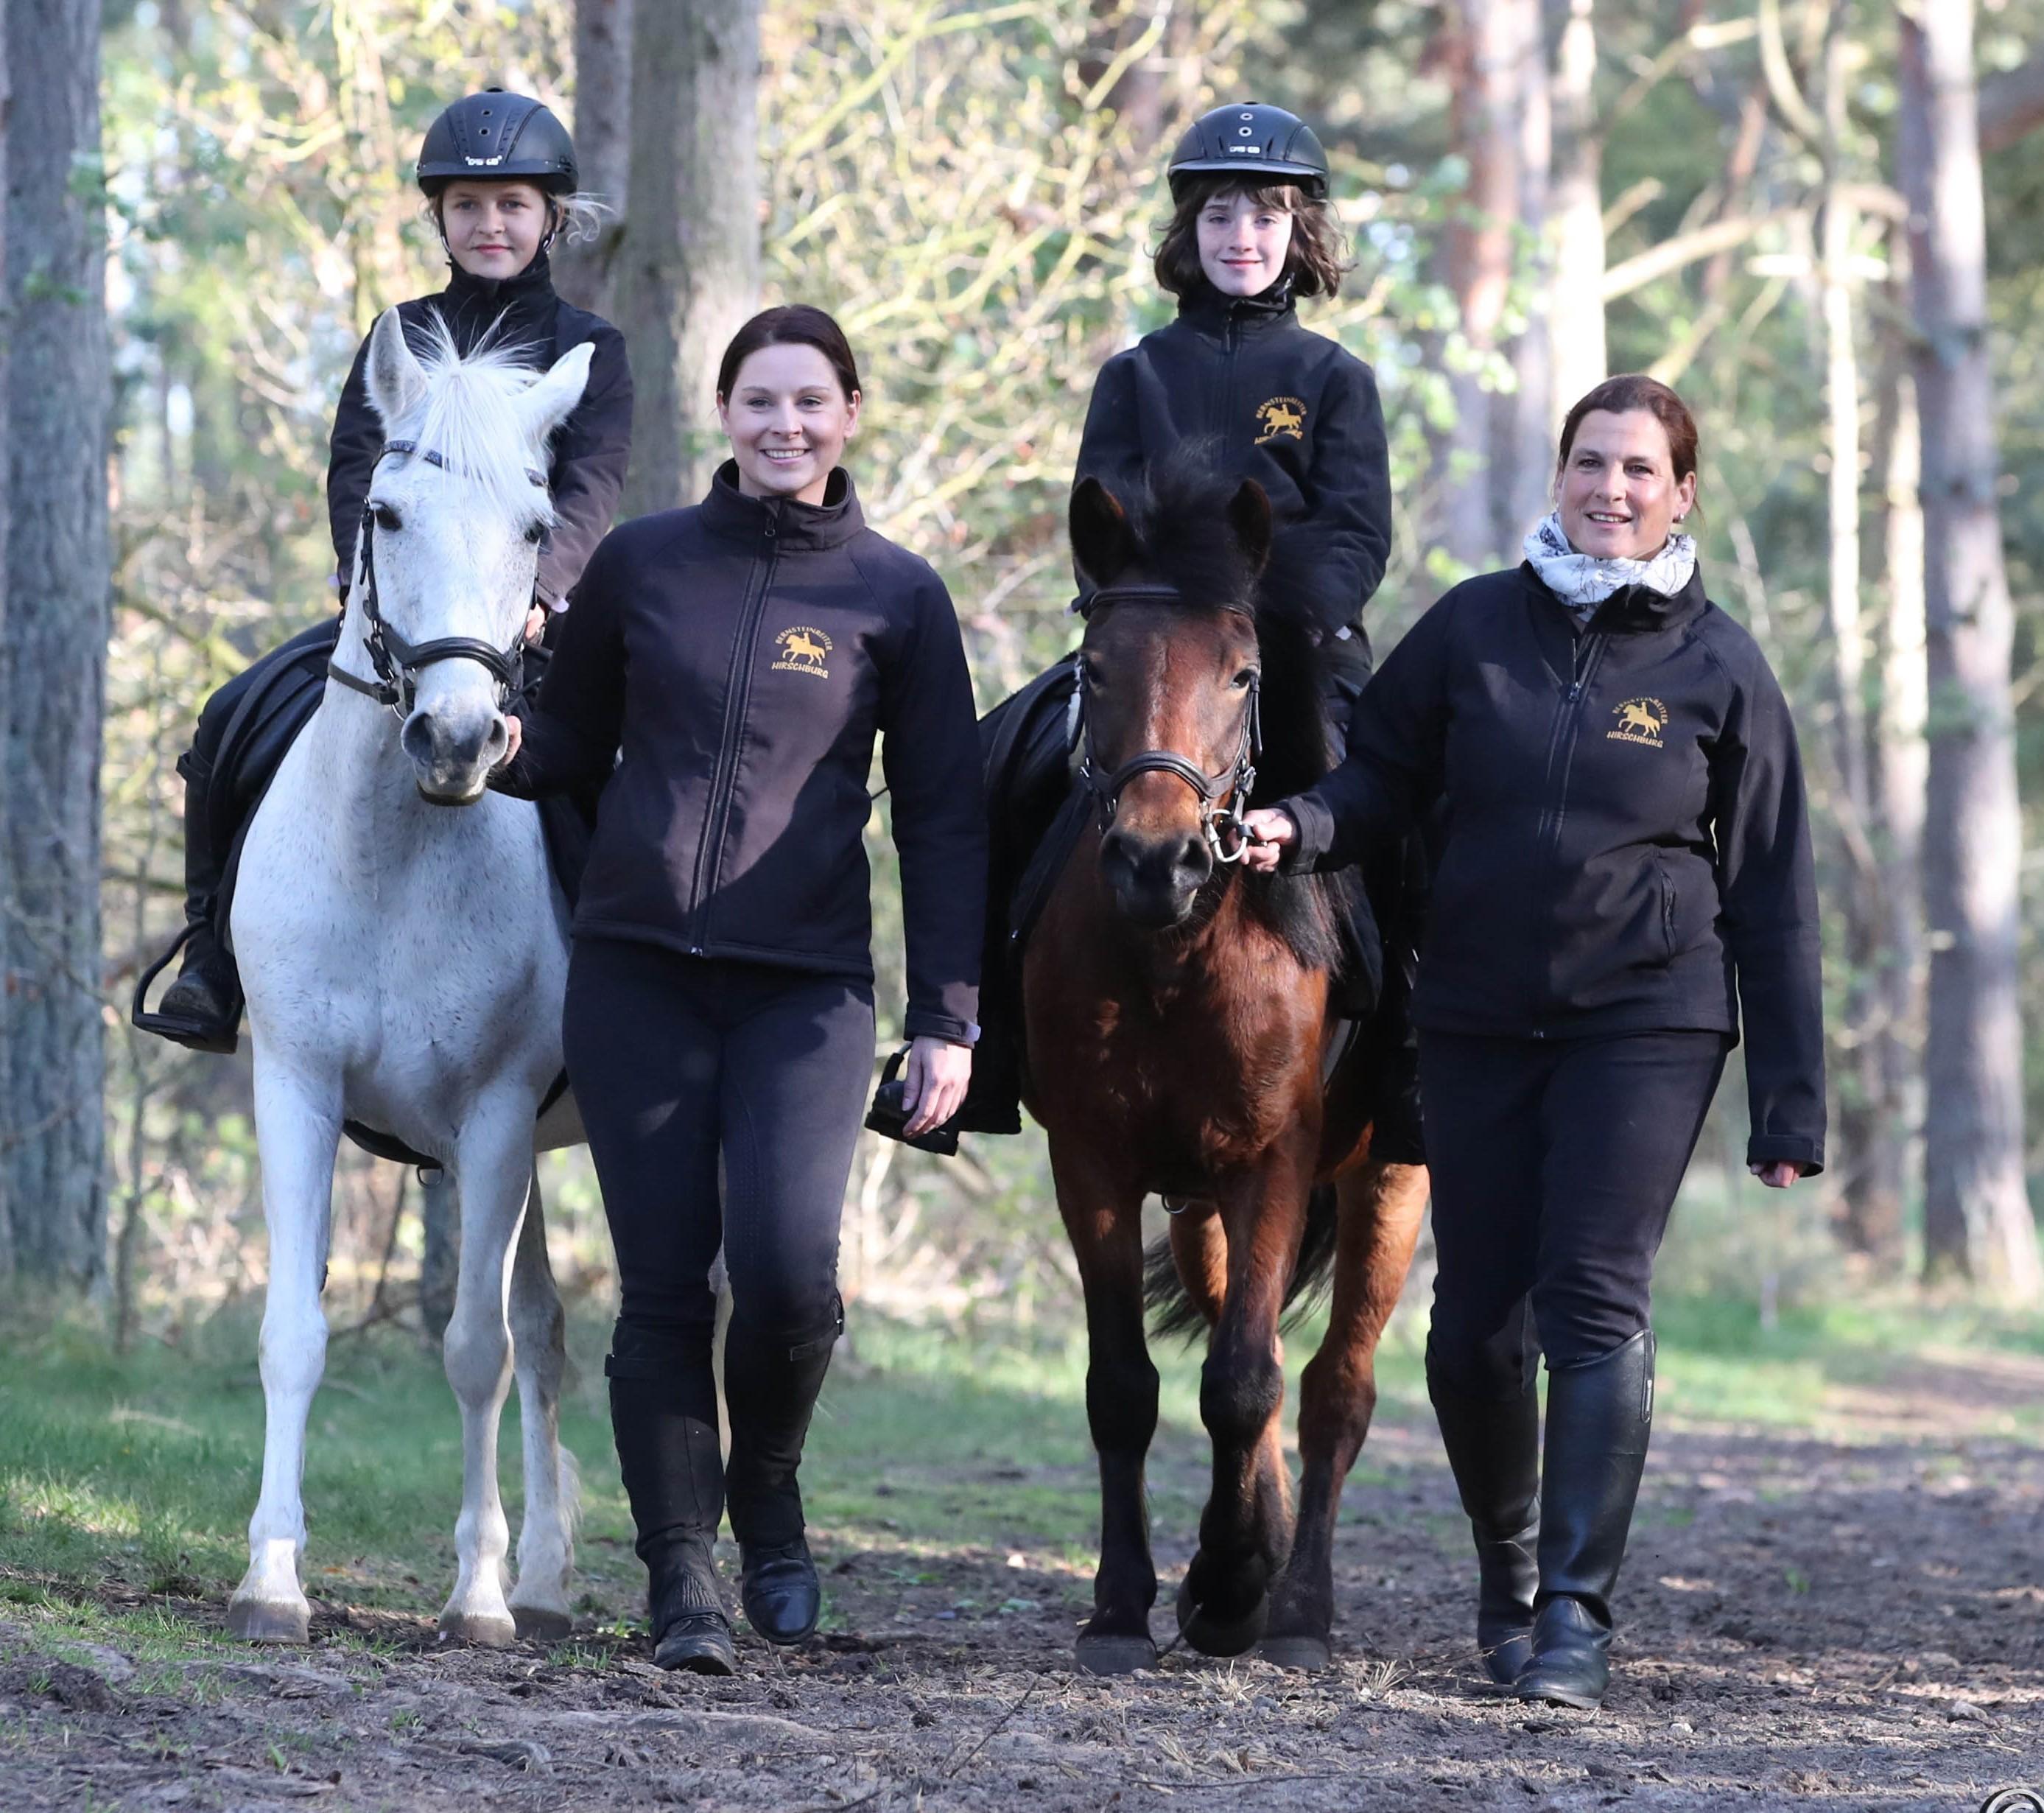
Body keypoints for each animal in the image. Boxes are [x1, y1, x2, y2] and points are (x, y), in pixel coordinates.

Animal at [233, 312, 597, 1643]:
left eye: (536, 526)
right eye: (385, 513)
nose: (453, 738)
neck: (398, 853)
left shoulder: (491, 1118)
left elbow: (472, 1352)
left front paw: (475, 1596)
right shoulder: (295, 1087)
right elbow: (293, 1334)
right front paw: (272, 1576)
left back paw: (528, 1582)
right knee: (547, 1332)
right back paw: (544, 1579)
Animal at [1022, 463, 1439, 1676]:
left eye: (1244, 672)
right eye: (1096, 666)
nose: (1156, 860)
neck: (1176, 948)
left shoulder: (1272, 1159)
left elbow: (1247, 1381)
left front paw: (1227, 1580)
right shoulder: (1095, 1164)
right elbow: (1127, 1386)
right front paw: (1128, 1608)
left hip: (1387, 1178)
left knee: (1333, 1387)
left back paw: (1293, 1606)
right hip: (1198, 1199)